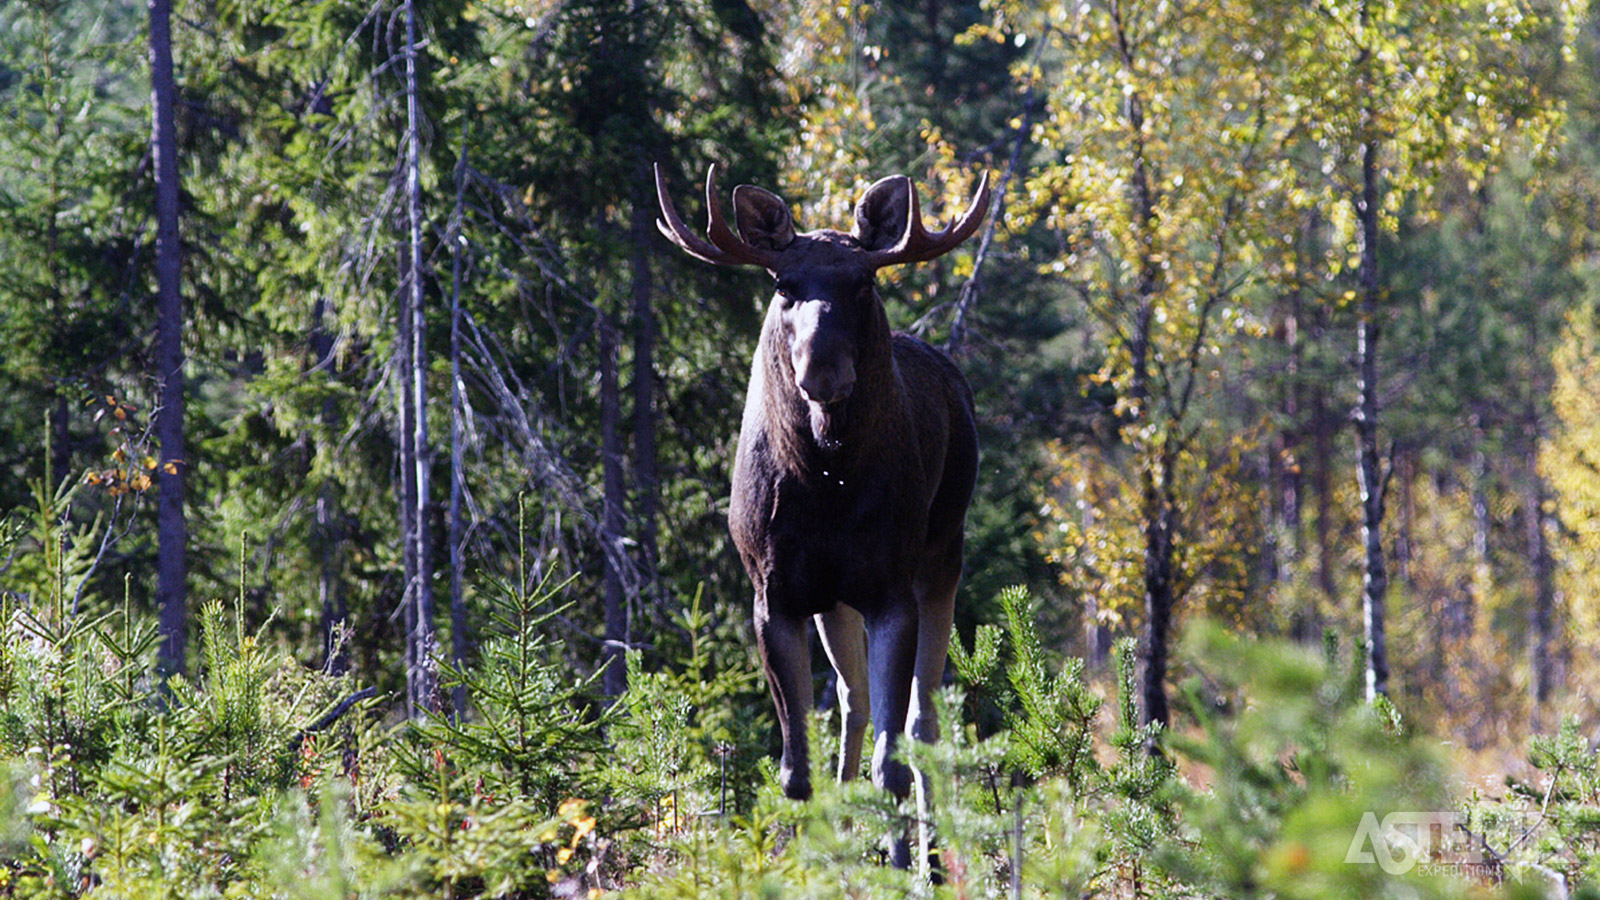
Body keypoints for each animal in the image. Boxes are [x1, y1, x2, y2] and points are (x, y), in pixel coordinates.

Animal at [652, 159, 985, 864]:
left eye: (863, 282)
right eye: (784, 284)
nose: (822, 369)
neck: (827, 486)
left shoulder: (891, 589)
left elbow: (893, 760)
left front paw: (901, 867)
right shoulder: (773, 593)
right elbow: (795, 768)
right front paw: (811, 861)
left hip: (943, 556)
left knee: (923, 721)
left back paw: (935, 863)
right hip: (834, 601)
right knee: (853, 703)